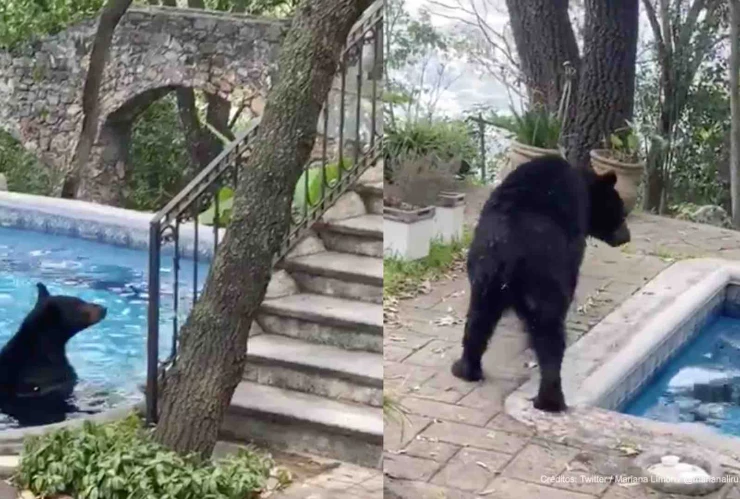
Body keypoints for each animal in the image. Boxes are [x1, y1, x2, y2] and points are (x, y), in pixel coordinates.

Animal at [451, 155, 630, 412]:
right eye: (621, 211)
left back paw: (466, 369)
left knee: (477, 320)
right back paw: (550, 399)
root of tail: (507, 252)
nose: (627, 237)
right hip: (542, 279)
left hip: (485, 277)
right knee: (549, 335)